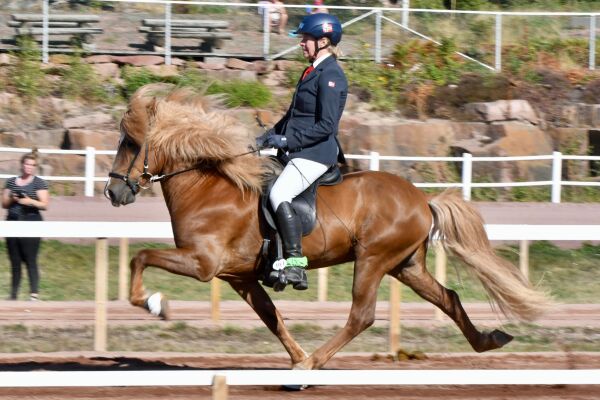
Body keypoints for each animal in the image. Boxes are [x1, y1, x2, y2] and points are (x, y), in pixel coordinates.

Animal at [106, 83, 548, 368]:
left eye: (131, 143)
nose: (113, 192)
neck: (210, 185)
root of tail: (423, 199)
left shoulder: (202, 263)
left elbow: (140, 257)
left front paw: (154, 303)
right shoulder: (239, 277)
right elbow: (272, 317)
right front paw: (295, 354)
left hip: (372, 259)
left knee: (362, 316)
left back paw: (311, 366)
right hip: (406, 265)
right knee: (449, 297)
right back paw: (488, 341)